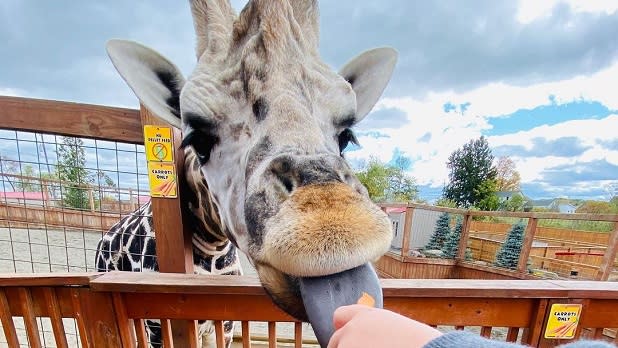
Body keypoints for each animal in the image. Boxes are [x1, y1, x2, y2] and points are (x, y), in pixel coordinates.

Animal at [97, 0, 394, 346]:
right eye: (198, 138)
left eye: (346, 136)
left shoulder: (222, 325)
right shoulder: (162, 325)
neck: (211, 250)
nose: (333, 231)